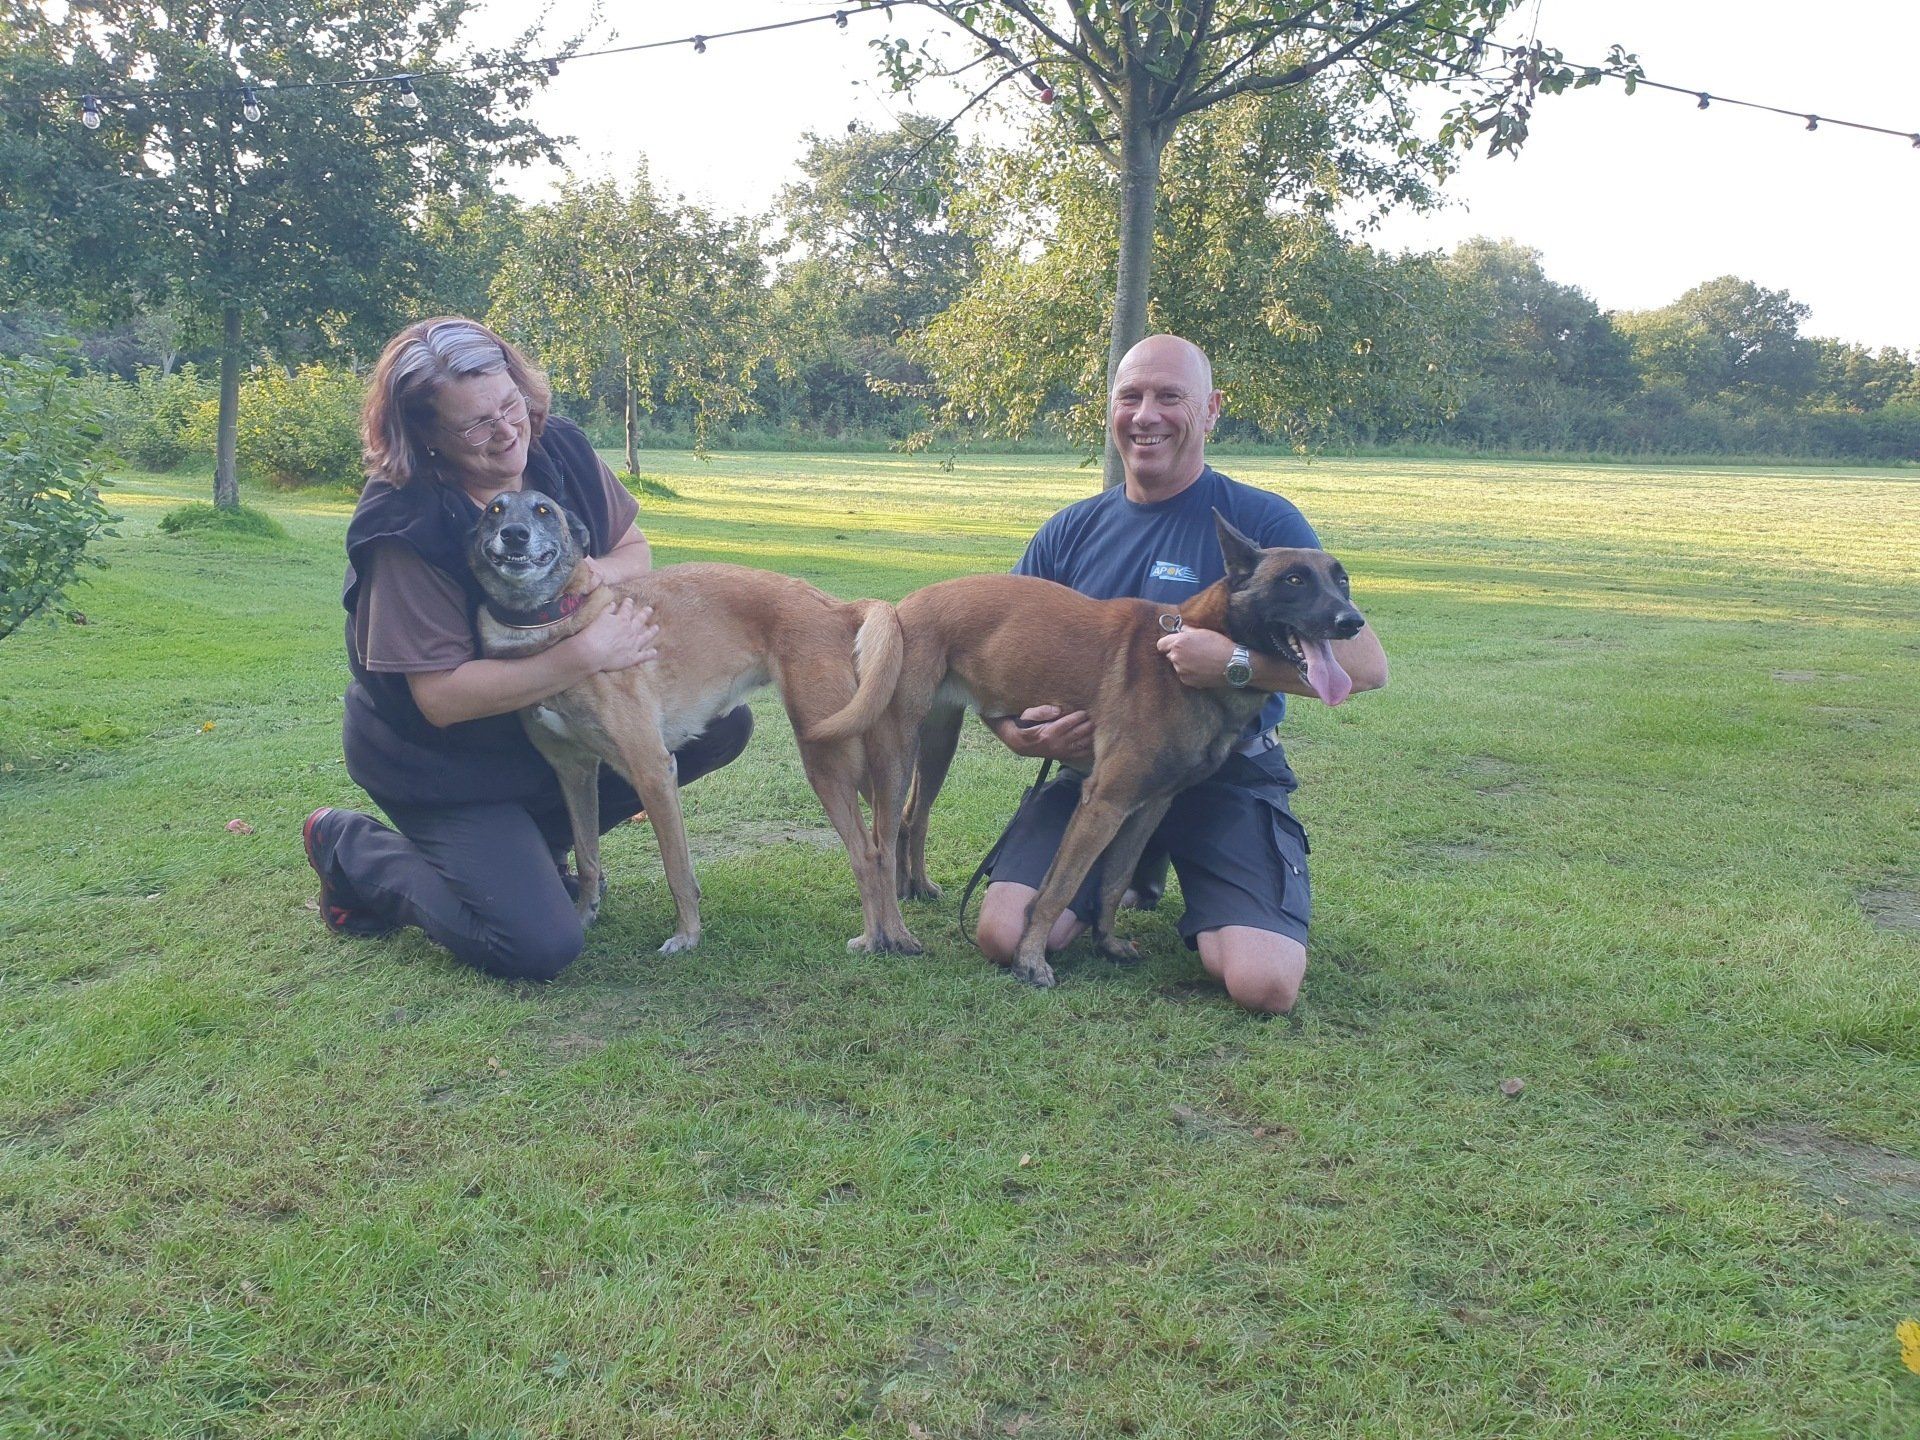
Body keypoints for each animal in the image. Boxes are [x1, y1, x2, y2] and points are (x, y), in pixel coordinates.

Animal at [469, 489, 920, 956]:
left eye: (543, 510)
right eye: (495, 510)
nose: (514, 534)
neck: (555, 627)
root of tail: (837, 607)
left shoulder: (652, 771)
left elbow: (676, 870)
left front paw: (687, 935)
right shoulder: (574, 772)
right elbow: (587, 854)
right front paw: (584, 915)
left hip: (825, 759)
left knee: (866, 853)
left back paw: (872, 937)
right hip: (862, 763)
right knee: (885, 841)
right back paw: (897, 935)